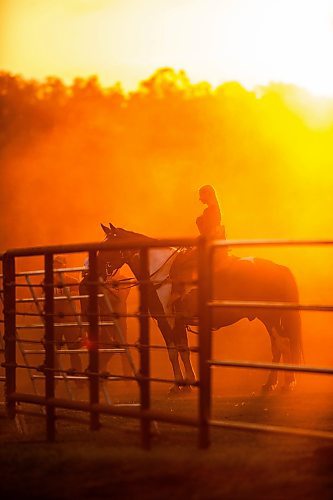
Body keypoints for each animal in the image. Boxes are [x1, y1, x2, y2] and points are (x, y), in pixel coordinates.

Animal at [97, 224, 302, 394]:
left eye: (106, 248)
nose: (94, 272)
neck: (159, 274)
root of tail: (279, 268)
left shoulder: (167, 321)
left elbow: (175, 352)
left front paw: (180, 384)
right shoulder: (176, 322)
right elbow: (182, 351)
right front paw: (187, 382)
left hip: (270, 318)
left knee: (282, 345)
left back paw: (280, 383)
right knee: (280, 346)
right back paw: (279, 382)